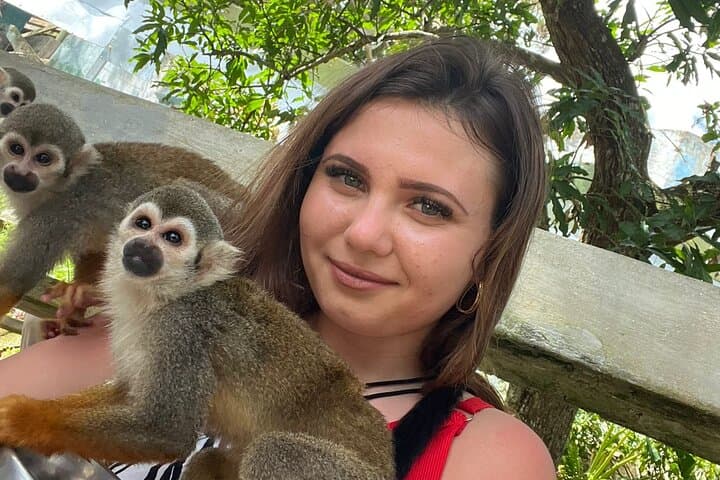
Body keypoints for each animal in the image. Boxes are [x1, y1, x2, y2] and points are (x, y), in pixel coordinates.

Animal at [0, 102, 246, 333]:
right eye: (16, 149)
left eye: (43, 159)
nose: (20, 173)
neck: (56, 187)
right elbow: (94, 252)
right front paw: (78, 298)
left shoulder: (57, 215)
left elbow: (12, 281)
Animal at [0, 183, 395, 480]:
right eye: (142, 224)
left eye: (173, 238)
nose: (141, 246)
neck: (163, 297)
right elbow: (128, 395)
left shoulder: (182, 332)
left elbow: (167, 430)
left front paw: (23, 417)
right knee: (212, 458)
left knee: (275, 451)